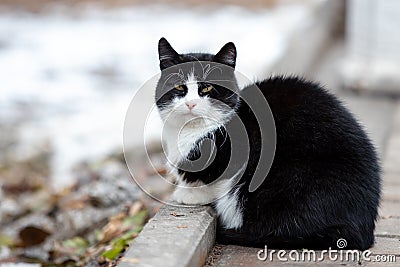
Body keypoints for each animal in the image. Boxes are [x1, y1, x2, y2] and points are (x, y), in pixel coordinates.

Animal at [155, 37, 380, 251]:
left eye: (207, 87)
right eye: (179, 87)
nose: (190, 103)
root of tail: (362, 232)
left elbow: (217, 180)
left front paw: (190, 194)